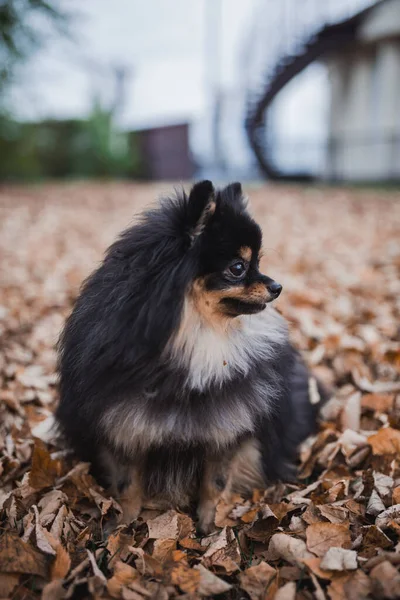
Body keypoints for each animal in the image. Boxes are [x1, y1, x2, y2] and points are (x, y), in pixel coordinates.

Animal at [57, 180, 324, 532]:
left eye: (258, 262)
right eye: (238, 268)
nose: (278, 286)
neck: (196, 339)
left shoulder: (227, 428)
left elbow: (215, 484)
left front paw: (209, 527)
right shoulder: (126, 425)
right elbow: (128, 486)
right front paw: (124, 526)